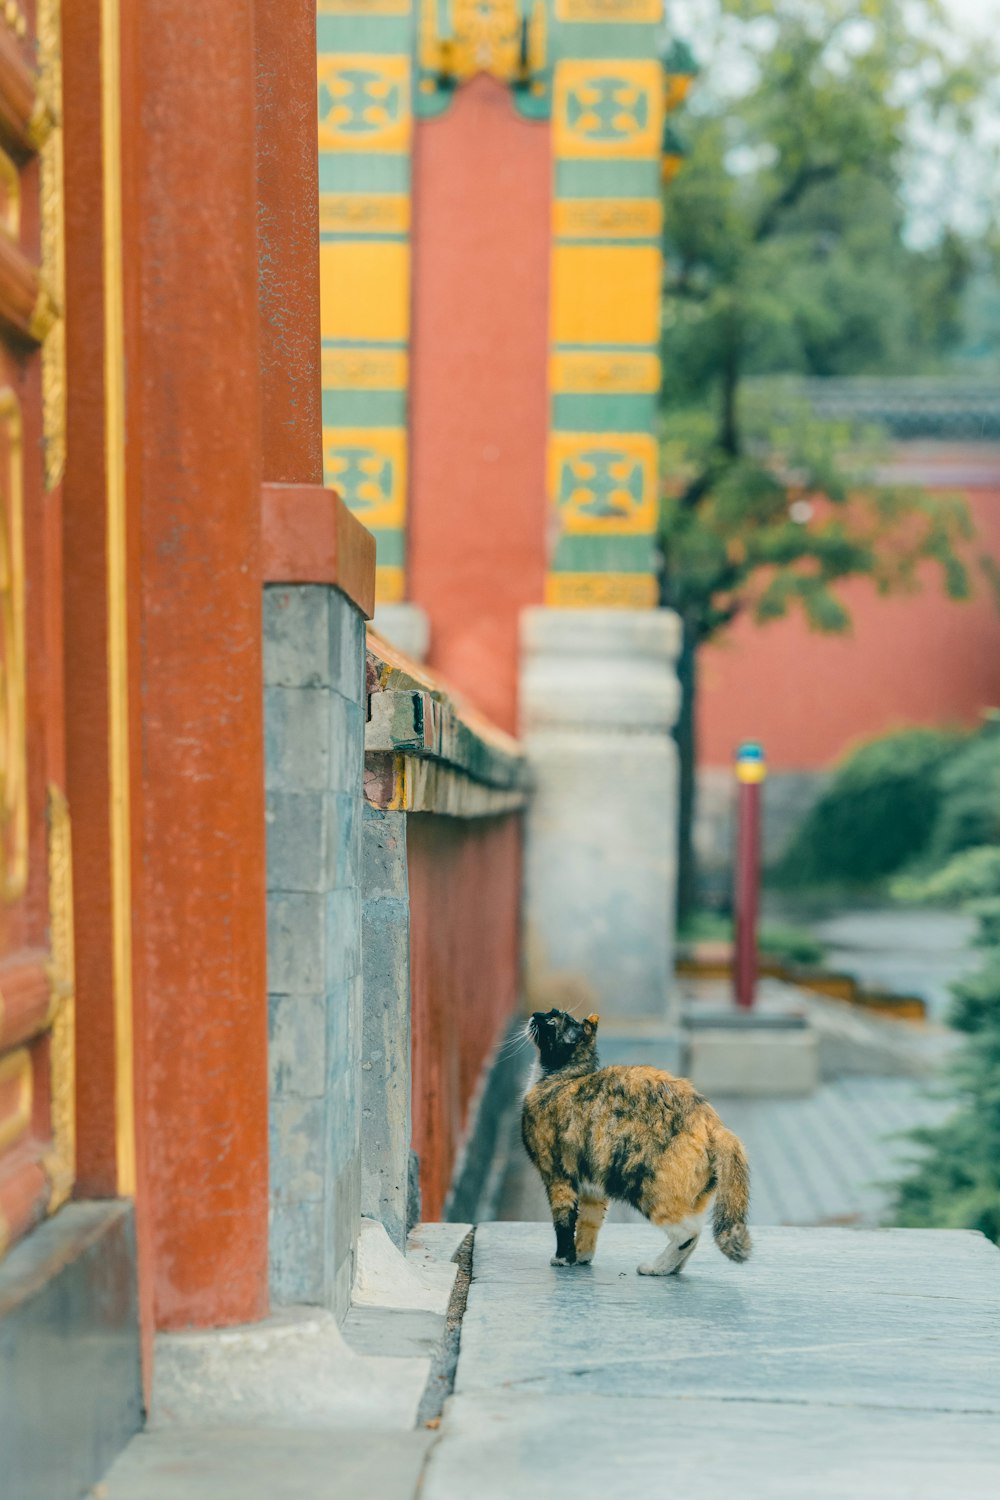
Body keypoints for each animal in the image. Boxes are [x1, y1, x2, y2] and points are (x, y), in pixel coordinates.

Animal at [524, 1008, 749, 1278]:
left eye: (551, 1020)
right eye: (552, 1012)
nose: (535, 1014)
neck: (559, 1079)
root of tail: (712, 1122)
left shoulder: (556, 1175)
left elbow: (564, 1221)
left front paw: (563, 1258)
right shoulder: (593, 1188)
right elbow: (589, 1223)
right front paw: (581, 1256)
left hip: (646, 1188)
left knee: (688, 1234)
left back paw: (655, 1268)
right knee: (694, 1232)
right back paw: (671, 1269)